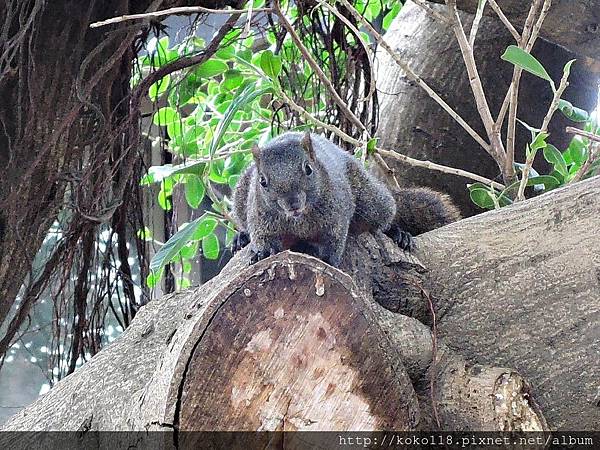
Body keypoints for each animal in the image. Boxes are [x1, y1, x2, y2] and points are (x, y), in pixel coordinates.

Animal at [231, 133, 460, 268]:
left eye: (308, 169)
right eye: (262, 181)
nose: (292, 203)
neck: (298, 220)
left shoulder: (337, 216)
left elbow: (334, 240)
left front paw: (328, 260)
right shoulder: (260, 216)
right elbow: (263, 237)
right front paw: (261, 253)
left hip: (372, 201)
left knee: (383, 217)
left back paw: (397, 233)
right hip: (241, 195)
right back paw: (241, 237)